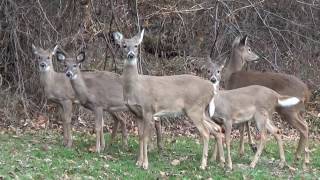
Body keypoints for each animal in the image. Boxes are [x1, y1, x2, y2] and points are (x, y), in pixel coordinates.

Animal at [113, 29, 225, 170]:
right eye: (124, 45)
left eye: (136, 45)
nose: (131, 55)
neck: (136, 88)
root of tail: (212, 89)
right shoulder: (136, 113)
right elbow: (140, 136)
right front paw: (138, 162)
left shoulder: (148, 109)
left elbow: (145, 137)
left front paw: (145, 164)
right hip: (202, 111)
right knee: (216, 128)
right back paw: (221, 162)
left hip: (195, 108)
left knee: (205, 132)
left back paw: (203, 165)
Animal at [224, 35, 312, 168]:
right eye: (249, 49)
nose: (257, 57)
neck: (231, 75)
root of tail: (307, 92)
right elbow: (246, 124)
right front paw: (250, 147)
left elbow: (243, 126)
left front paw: (243, 150)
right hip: (298, 111)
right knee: (305, 125)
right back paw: (299, 158)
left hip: (288, 110)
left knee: (303, 128)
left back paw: (300, 159)